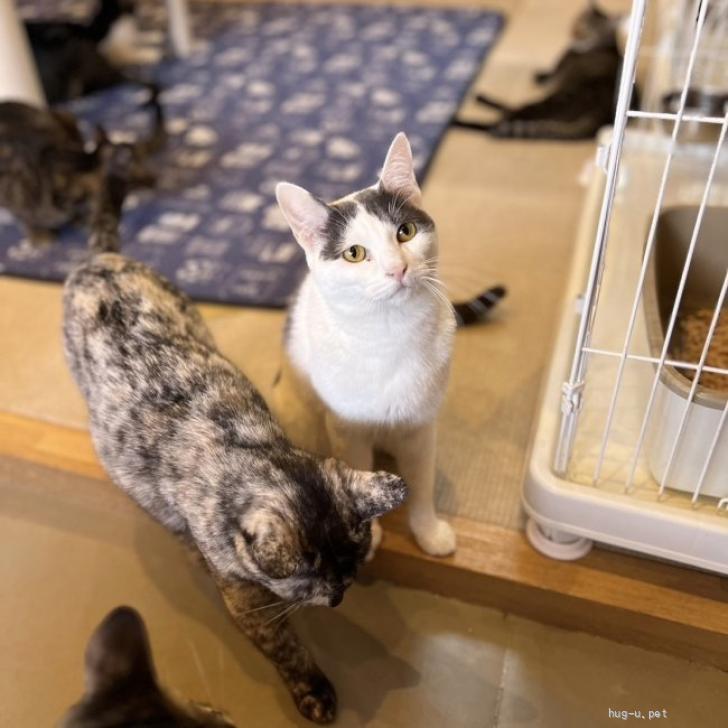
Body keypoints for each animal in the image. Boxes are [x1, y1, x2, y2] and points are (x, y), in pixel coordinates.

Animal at [273, 132, 460, 558]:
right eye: (354, 253)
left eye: (405, 231)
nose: (397, 268)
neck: (392, 332)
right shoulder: (347, 431)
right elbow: (357, 481)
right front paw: (369, 537)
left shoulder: (422, 428)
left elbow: (422, 486)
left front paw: (428, 532)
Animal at [453, 2, 624, 140]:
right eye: (577, 22)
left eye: (589, 30)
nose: (574, 34)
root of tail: (600, 118)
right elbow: (546, 75)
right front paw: (539, 75)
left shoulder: (560, 67)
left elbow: (548, 75)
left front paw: (539, 76)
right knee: (510, 110)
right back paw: (480, 99)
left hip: (553, 101)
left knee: (504, 118)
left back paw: (460, 119)